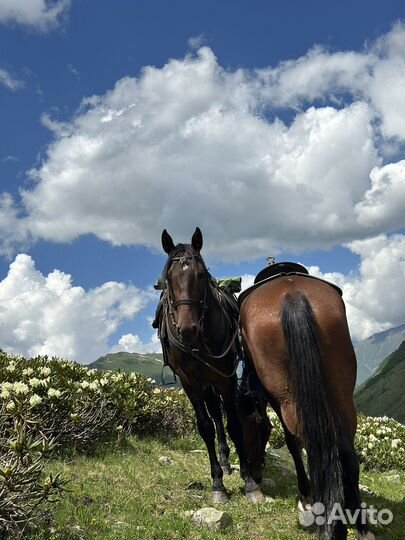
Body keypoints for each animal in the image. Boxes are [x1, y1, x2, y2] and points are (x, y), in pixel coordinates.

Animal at [155, 227, 262, 502]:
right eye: (168, 278)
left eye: (201, 274)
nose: (187, 330)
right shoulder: (189, 382)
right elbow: (205, 427)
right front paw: (218, 483)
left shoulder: (225, 378)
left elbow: (233, 424)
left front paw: (249, 482)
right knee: (213, 414)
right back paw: (222, 461)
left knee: (219, 414)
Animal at [238, 270, 374, 540]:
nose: (255, 473)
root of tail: (292, 293)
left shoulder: (275, 400)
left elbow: (292, 444)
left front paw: (306, 496)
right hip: (342, 395)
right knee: (346, 453)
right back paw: (359, 524)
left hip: (289, 400)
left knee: (310, 446)